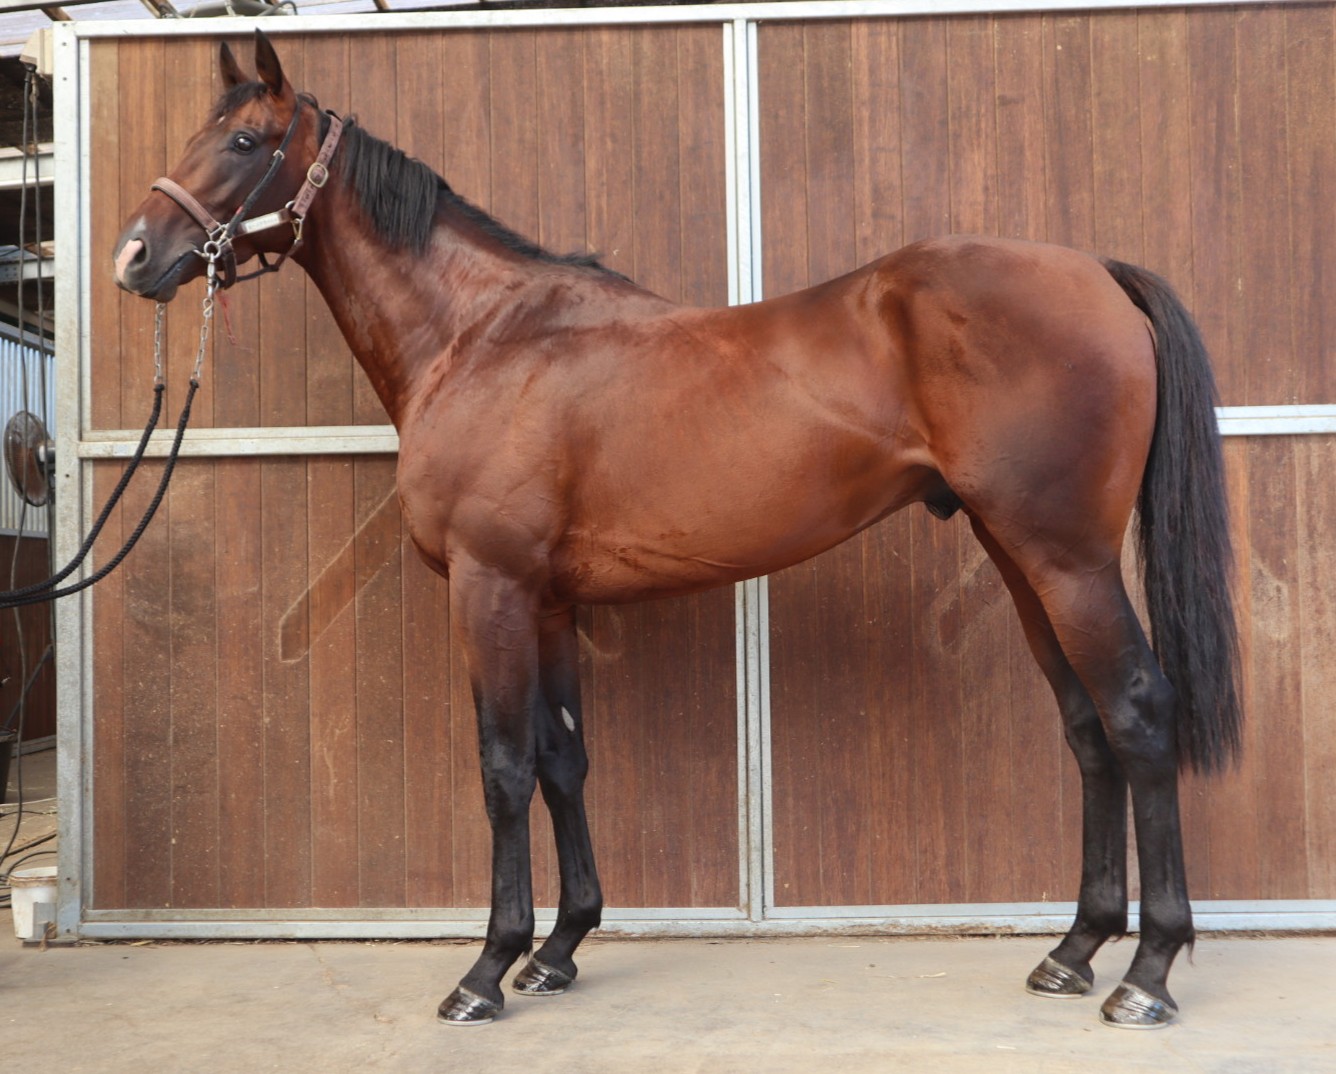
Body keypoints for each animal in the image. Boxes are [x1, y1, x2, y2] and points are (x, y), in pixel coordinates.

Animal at [113, 31, 1240, 1031]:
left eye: (246, 141)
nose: (135, 256)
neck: (483, 336)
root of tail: (1095, 271)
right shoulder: (548, 601)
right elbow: (564, 760)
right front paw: (560, 951)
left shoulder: (490, 588)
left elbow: (504, 767)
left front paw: (485, 971)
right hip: (1020, 561)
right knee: (1087, 729)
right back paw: (1073, 951)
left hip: (1068, 560)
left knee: (1138, 714)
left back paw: (1146, 974)